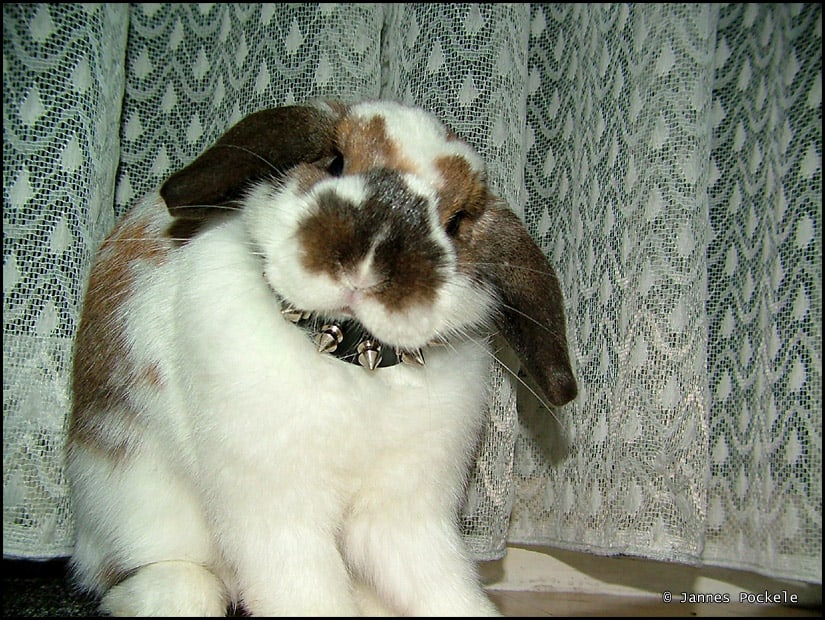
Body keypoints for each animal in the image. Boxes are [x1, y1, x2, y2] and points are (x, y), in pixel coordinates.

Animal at [66, 99, 577, 617]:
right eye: (334, 161)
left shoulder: (405, 514)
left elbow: (442, 587)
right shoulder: (276, 511)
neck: (355, 359)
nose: (368, 262)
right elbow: (309, 592)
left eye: (456, 221)